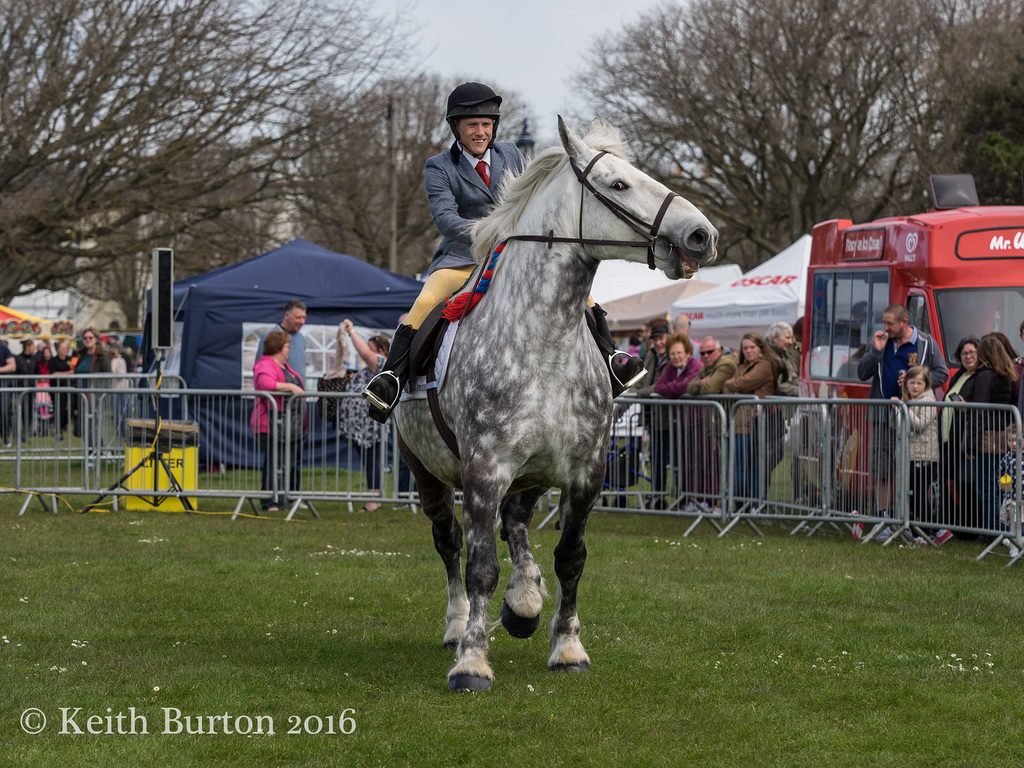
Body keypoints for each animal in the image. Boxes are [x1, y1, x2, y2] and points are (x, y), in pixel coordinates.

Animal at [395, 117, 716, 696]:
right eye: (618, 184)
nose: (701, 234)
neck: (543, 338)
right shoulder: (484, 471)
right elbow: (479, 566)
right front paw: (472, 662)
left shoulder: (585, 471)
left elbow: (571, 559)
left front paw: (567, 648)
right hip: (426, 470)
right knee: (449, 542)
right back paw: (459, 623)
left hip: (534, 472)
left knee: (516, 522)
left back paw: (523, 601)